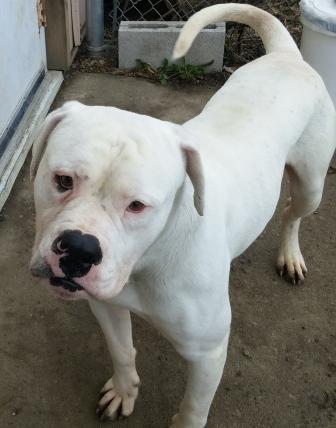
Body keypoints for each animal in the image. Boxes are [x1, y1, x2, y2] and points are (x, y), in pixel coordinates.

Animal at [29, 4, 336, 428]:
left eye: (137, 205)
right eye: (62, 180)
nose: (78, 249)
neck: (147, 259)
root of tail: (287, 55)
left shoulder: (208, 352)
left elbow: (193, 409)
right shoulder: (106, 304)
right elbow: (122, 352)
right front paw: (124, 391)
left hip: (311, 185)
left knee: (293, 211)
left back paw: (290, 255)